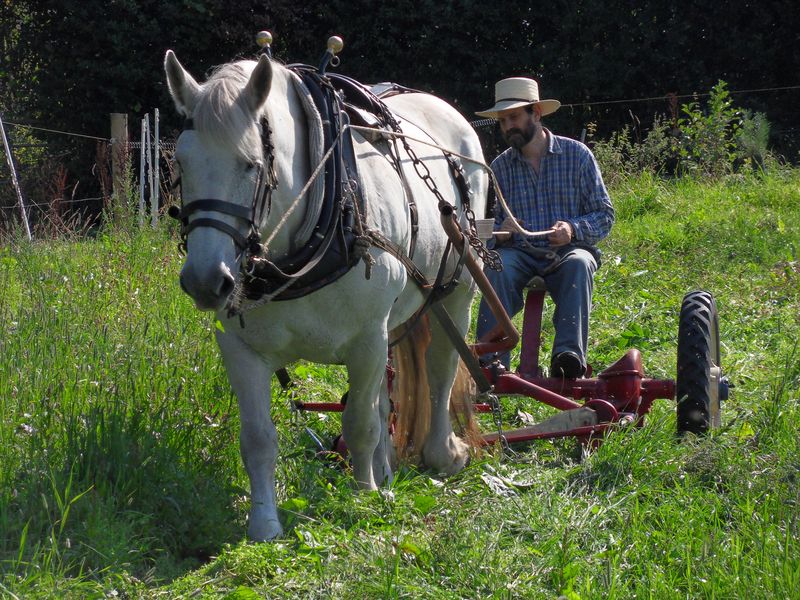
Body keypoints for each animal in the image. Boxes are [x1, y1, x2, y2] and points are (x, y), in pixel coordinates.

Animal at [166, 49, 484, 540]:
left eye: (251, 164)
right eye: (182, 163)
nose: (205, 280)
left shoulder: (367, 339)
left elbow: (358, 424)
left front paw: (363, 499)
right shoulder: (238, 346)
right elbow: (258, 438)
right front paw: (264, 525)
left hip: (457, 292)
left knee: (439, 371)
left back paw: (440, 454)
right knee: (386, 396)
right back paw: (387, 470)